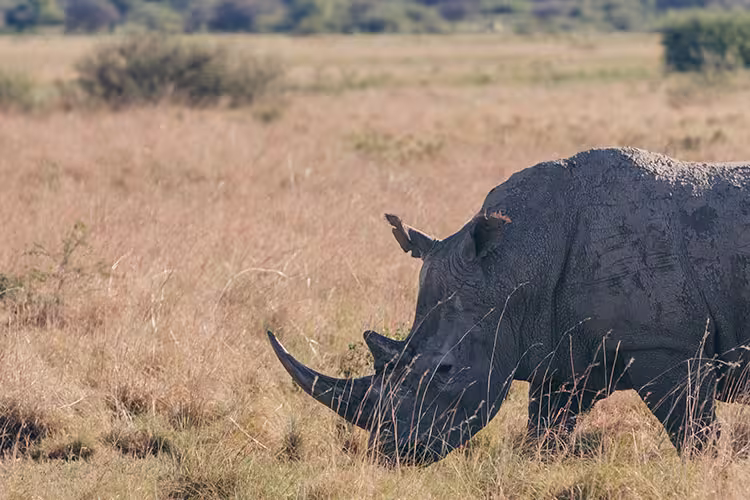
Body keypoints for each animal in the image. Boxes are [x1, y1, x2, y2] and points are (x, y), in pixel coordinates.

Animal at [268, 147, 750, 464]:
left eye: (444, 371)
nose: (390, 452)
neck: (513, 267)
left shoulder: (663, 347)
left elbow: (693, 429)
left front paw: (708, 471)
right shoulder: (563, 352)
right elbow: (545, 432)